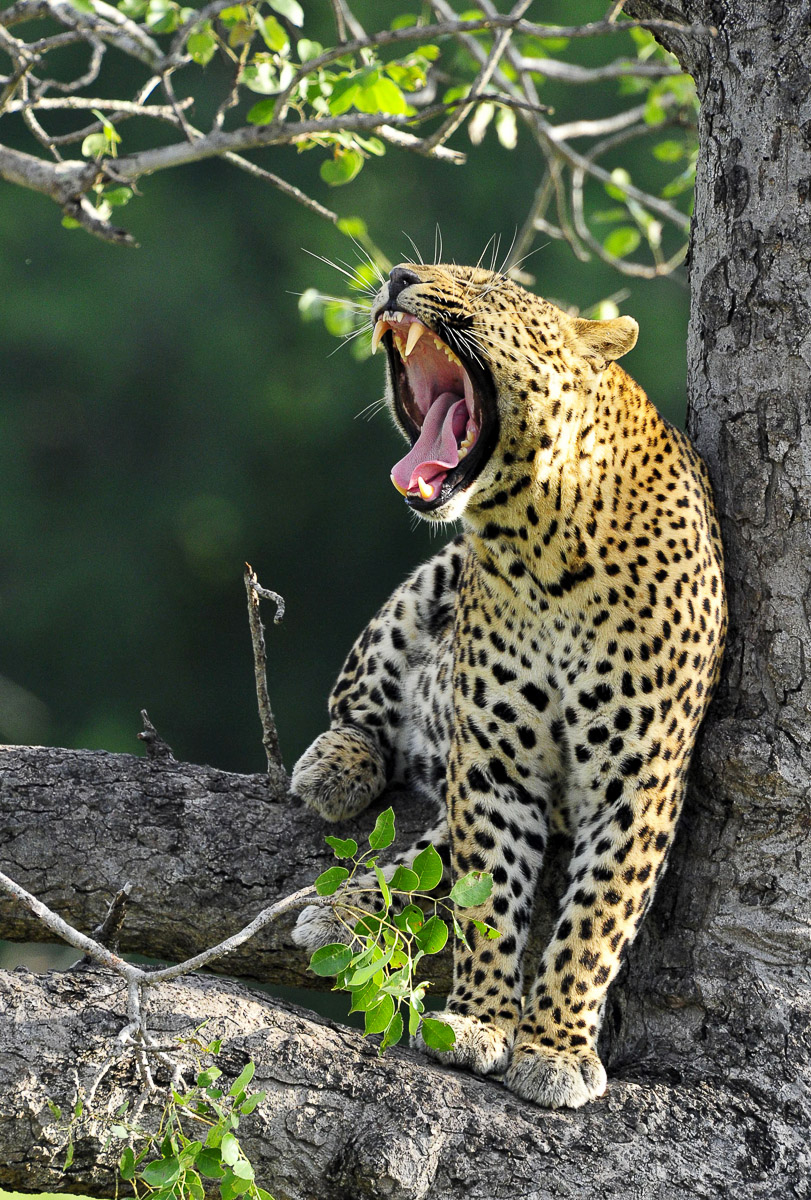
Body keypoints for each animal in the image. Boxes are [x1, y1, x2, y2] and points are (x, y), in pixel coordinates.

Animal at [291, 262, 726, 1109]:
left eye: (485, 287)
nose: (397, 275)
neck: (541, 548)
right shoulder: (493, 763)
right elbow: (487, 894)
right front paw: (479, 1023)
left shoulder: (639, 781)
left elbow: (595, 918)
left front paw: (555, 1048)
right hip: (426, 585)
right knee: (363, 705)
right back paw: (334, 774)